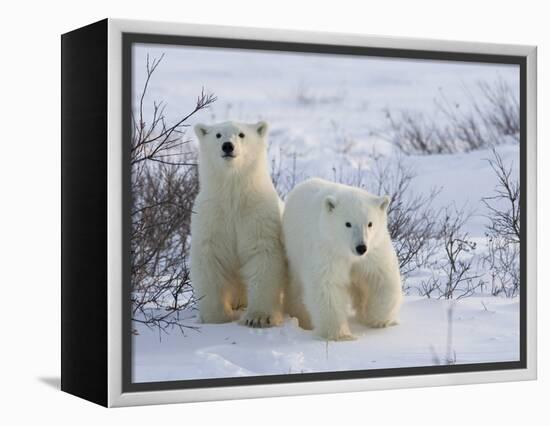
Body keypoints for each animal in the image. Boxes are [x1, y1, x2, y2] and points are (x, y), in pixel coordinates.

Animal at [191, 121, 286, 328]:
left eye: (241, 134)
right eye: (218, 135)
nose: (228, 146)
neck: (233, 193)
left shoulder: (257, 214)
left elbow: (263, 255)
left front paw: (258, 317)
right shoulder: (212, 216)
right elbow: (210, 259)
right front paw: (217, 317)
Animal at [282, 178, 404, 342]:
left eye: (370, 223)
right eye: (348, 224)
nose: (361, 247)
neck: (346, 251)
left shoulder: (374, 251)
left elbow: (381, 278)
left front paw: (378, 319)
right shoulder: (327, 251)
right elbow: (328, 285)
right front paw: (341, 335)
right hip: (294, 250)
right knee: (297, 288)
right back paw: (302, 318)